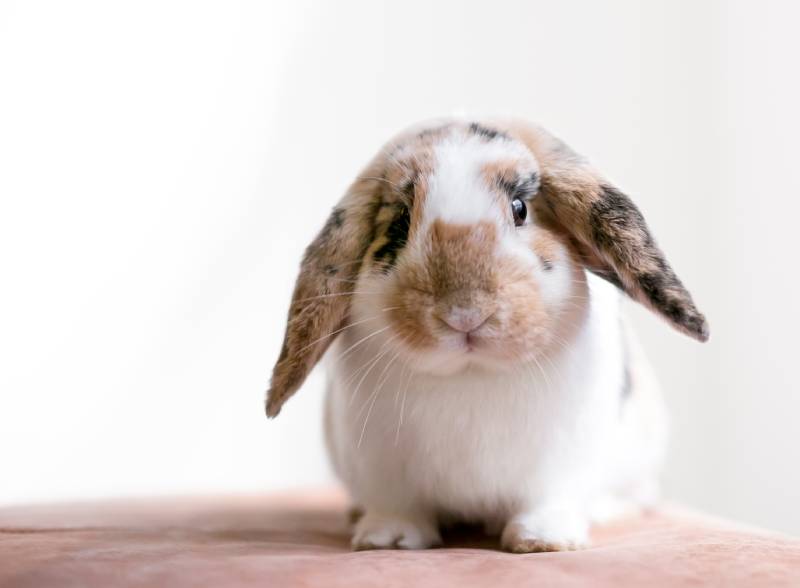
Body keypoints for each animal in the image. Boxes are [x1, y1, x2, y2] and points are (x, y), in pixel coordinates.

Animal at [264, 118, 708, 553]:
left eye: (520, 209)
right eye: (400, 222)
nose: (465, 313)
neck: (471, 372)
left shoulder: (560, 464)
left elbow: (548, 500)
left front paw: (544, 541)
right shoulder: (380, 467)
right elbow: (397, 507)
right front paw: (387, 539)